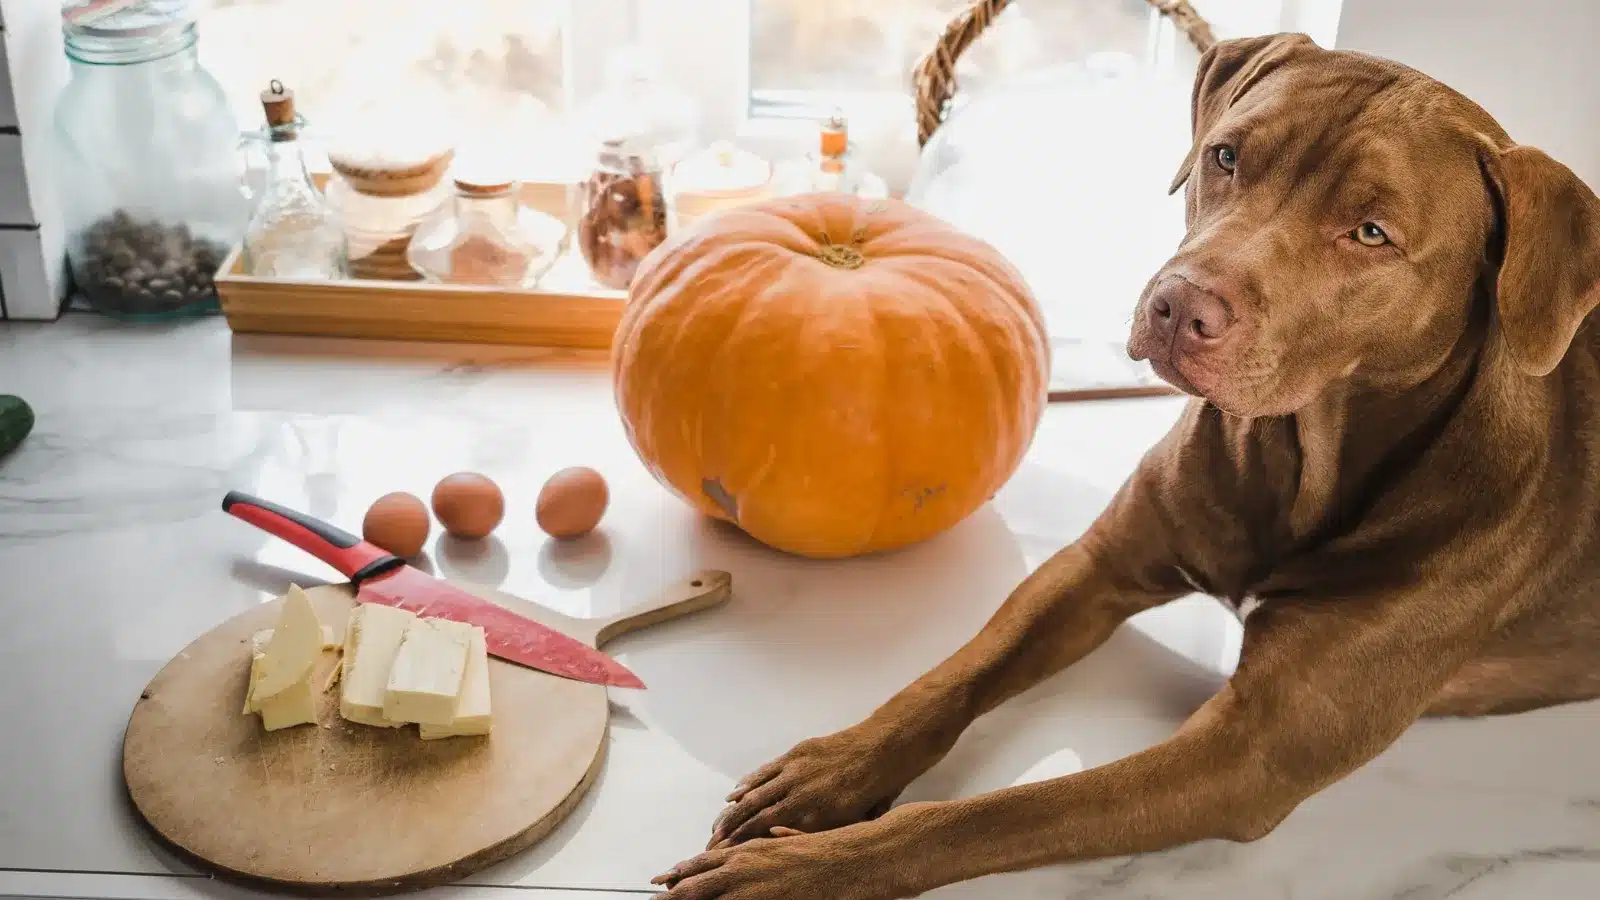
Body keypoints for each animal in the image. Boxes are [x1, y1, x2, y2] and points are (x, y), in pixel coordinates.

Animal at [649, 31, 1600, 890]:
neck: (1300, 457)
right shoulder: (1096, 566)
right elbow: (951, 677)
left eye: (1372, 232)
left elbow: (1001, 814)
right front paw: (832, 770)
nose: (1180, 306)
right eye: (1226, 156)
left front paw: (809, 865)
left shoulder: (1245, 757)